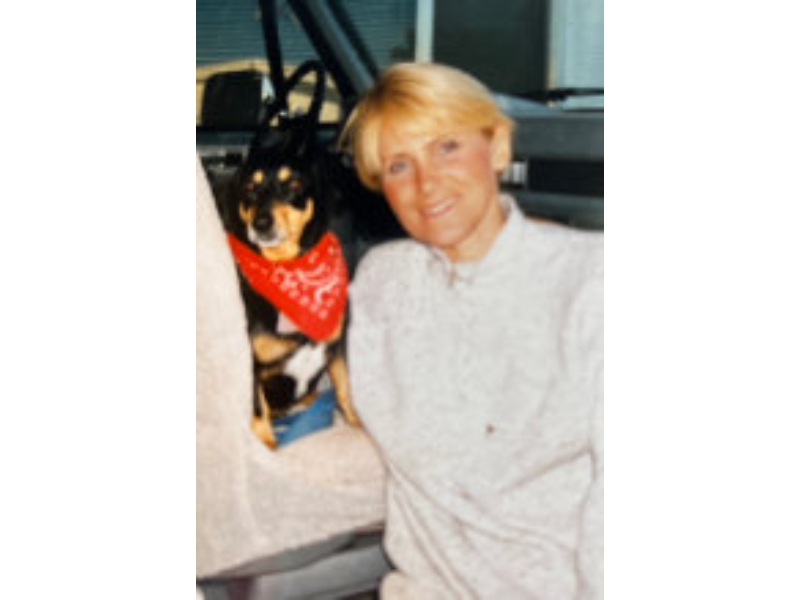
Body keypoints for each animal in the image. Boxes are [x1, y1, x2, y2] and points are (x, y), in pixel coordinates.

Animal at [225, 157, 360, 448]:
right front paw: (269, 449)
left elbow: (345, 390)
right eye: (250, 187)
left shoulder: (337, 347)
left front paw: (360, 426)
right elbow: (259, 413)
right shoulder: (253, 367)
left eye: (294, 185)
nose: (261, 223)